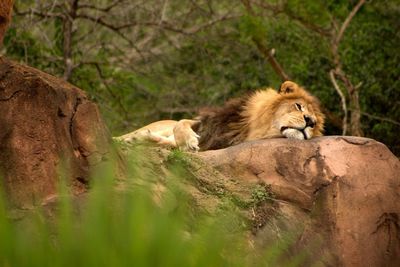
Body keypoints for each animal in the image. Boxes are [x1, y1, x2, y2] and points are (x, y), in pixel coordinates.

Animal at [115, 81, 324, 152]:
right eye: (298, 106)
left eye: (315, 124)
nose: (310, 121)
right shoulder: (208, 123)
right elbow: (181, 123)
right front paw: (190, 140)